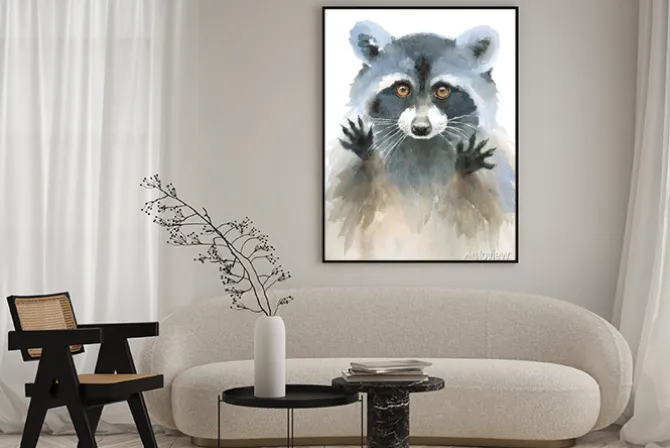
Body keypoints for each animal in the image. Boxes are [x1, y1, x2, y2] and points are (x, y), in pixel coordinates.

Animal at [325, 21, 516, 260]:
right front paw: (367, 153)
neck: (421, 145)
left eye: (442, 90)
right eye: (402, 89)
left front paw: (464, 169)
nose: (421, 128)